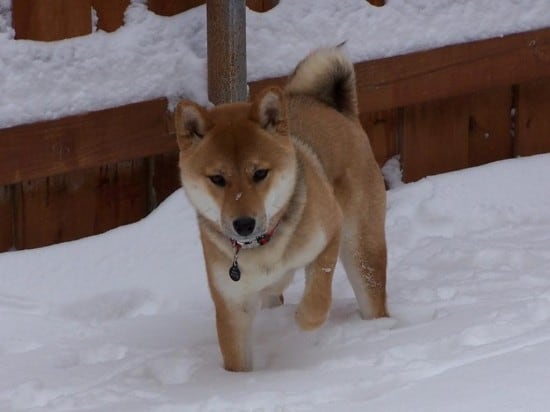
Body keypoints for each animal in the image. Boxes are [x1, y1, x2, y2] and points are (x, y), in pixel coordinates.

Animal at [176, 46, 388, 372]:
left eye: (260, 173)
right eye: (217, 179)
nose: (244, 224)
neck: (262, 247)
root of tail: (332, 108)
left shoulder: (329, 234)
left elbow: (318, 297)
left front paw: (303, 320)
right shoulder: (233, 305)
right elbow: (236, 360)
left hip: (361, 249)